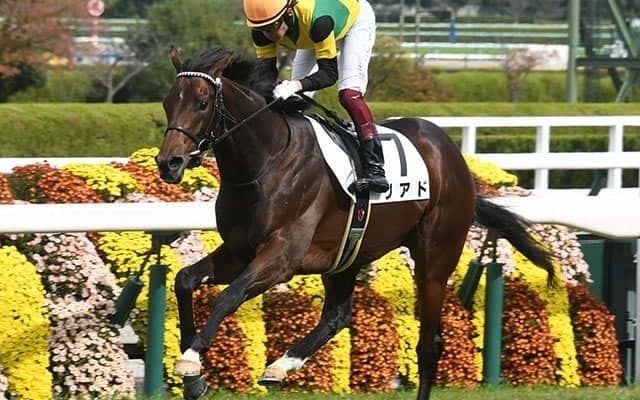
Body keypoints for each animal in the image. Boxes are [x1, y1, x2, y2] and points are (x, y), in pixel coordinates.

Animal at [155, 45, 555, 400]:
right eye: (167, 103)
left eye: (202, 103)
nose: (169, 163)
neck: (266, 161)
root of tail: (453, 156)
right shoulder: (239, 250)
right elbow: (184, 280)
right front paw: (193, 373)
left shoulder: (282, 256)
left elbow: (229, 296)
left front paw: (191, 359)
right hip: (346, 253)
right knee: (337, 316)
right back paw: (281, 366)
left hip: (435, 258)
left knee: (429, 343)